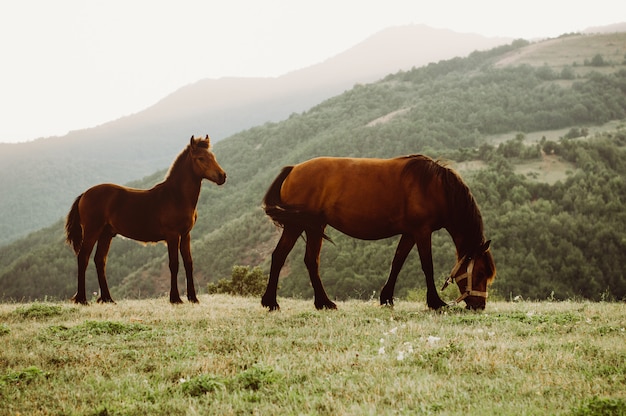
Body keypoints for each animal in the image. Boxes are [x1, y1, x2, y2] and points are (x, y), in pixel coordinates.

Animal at [64, 135, 225, 304]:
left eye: (213, 156)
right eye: (201, 158)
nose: (222, 176)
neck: (176, 196)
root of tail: (84, 194)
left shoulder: (185, 235)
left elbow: (188, 263)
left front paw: (193, 298)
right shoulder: (172, 236)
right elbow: (174, 264)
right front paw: (175, 298)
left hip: (106, 234)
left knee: (99, 260)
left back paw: (108, 299)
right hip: (92, 232)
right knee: (83, 258)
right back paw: (82, 299)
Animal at [260, 154, 494, 310]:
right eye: (480, 273)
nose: (479, 305)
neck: (434, 188)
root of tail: (293, 169)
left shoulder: (410, 233)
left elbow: (397, 262)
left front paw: (387, 298)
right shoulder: (422, 231)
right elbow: (427, 266)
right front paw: (436, 302)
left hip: (312, 226)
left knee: (307, 260)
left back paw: (322, 303)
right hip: (298, 226)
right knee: (281, 256)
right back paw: (272, 302)